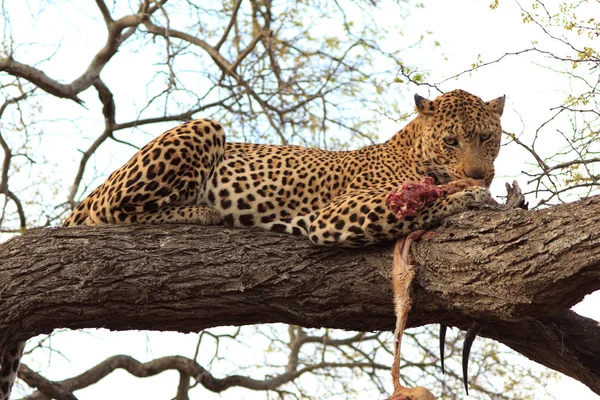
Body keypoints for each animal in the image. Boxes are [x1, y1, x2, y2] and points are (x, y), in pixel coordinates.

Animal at [0, 90, 506, 400]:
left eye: (488, 137)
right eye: (451, 140)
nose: (481, 174)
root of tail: (90, 192)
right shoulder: (337, 214)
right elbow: (428, 202)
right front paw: (471, 197)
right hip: (199, 131)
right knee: (115, 213)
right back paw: (202, 212)